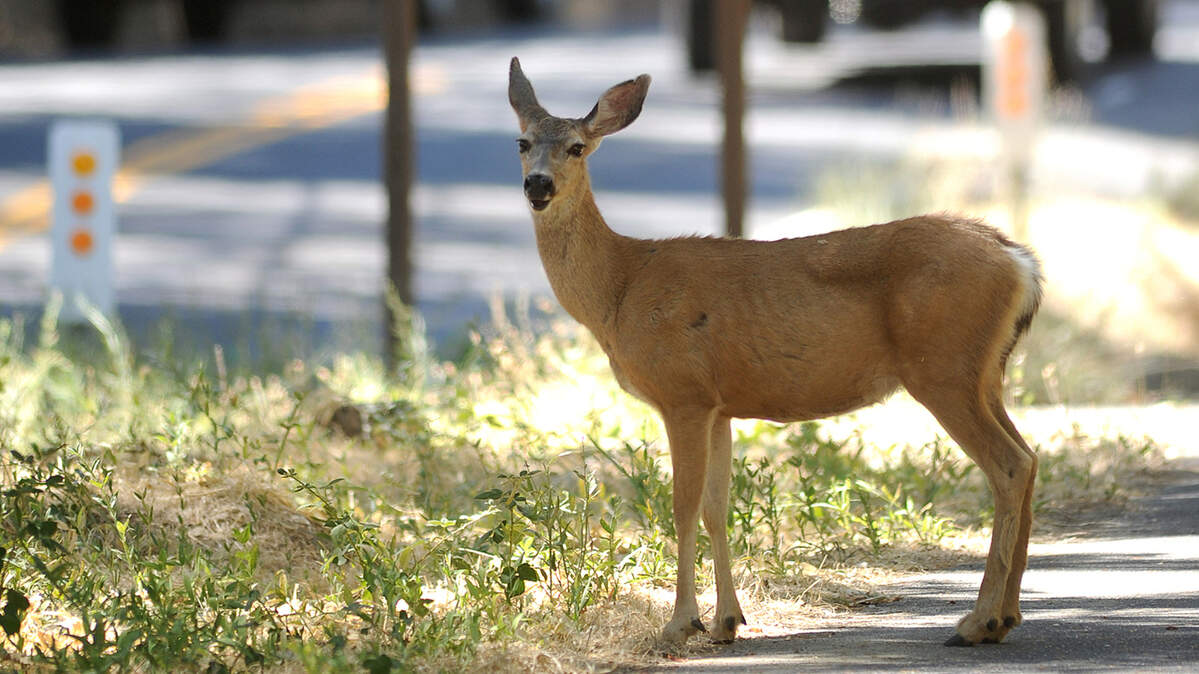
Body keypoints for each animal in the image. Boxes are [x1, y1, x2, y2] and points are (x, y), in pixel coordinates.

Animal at [508, 57, 1043, 648]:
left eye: (577, 147)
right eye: (522, 142)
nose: (538, 184)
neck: (620, 290)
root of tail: (1020, 262)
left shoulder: (682, 392)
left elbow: (682, 506)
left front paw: (680, 623)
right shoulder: (718, 405)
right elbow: (716, 508)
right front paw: (726, 621)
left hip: (942, 368)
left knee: (1010, 465)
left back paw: (977, 621)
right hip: (985, 373)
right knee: (1032, 458)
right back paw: (1007, 616)